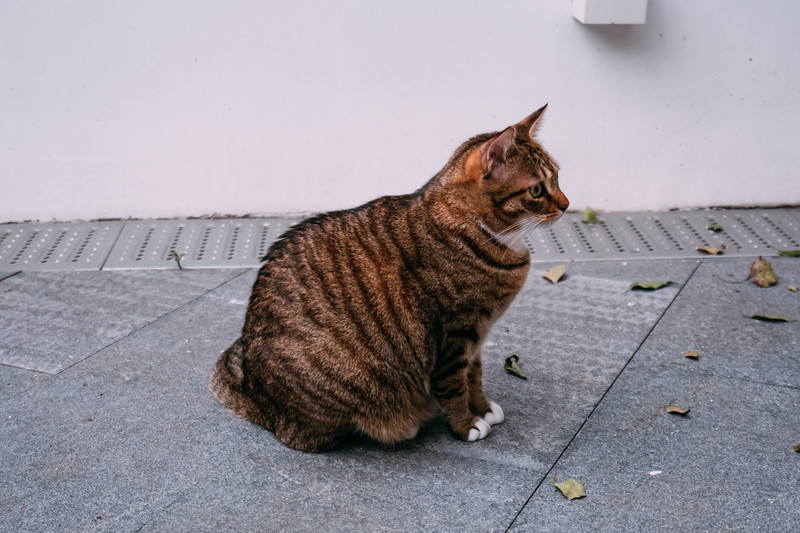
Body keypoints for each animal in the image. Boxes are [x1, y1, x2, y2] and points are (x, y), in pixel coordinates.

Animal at [208, 105, 568, 454]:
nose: (566, 205)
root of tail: (258, 399)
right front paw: (466, 424)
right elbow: (454, 386)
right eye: (537, 189)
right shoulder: (455, 334)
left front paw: (481, 408)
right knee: (310, 437)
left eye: (558, 177)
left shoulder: (476, 336)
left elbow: (474, 376)